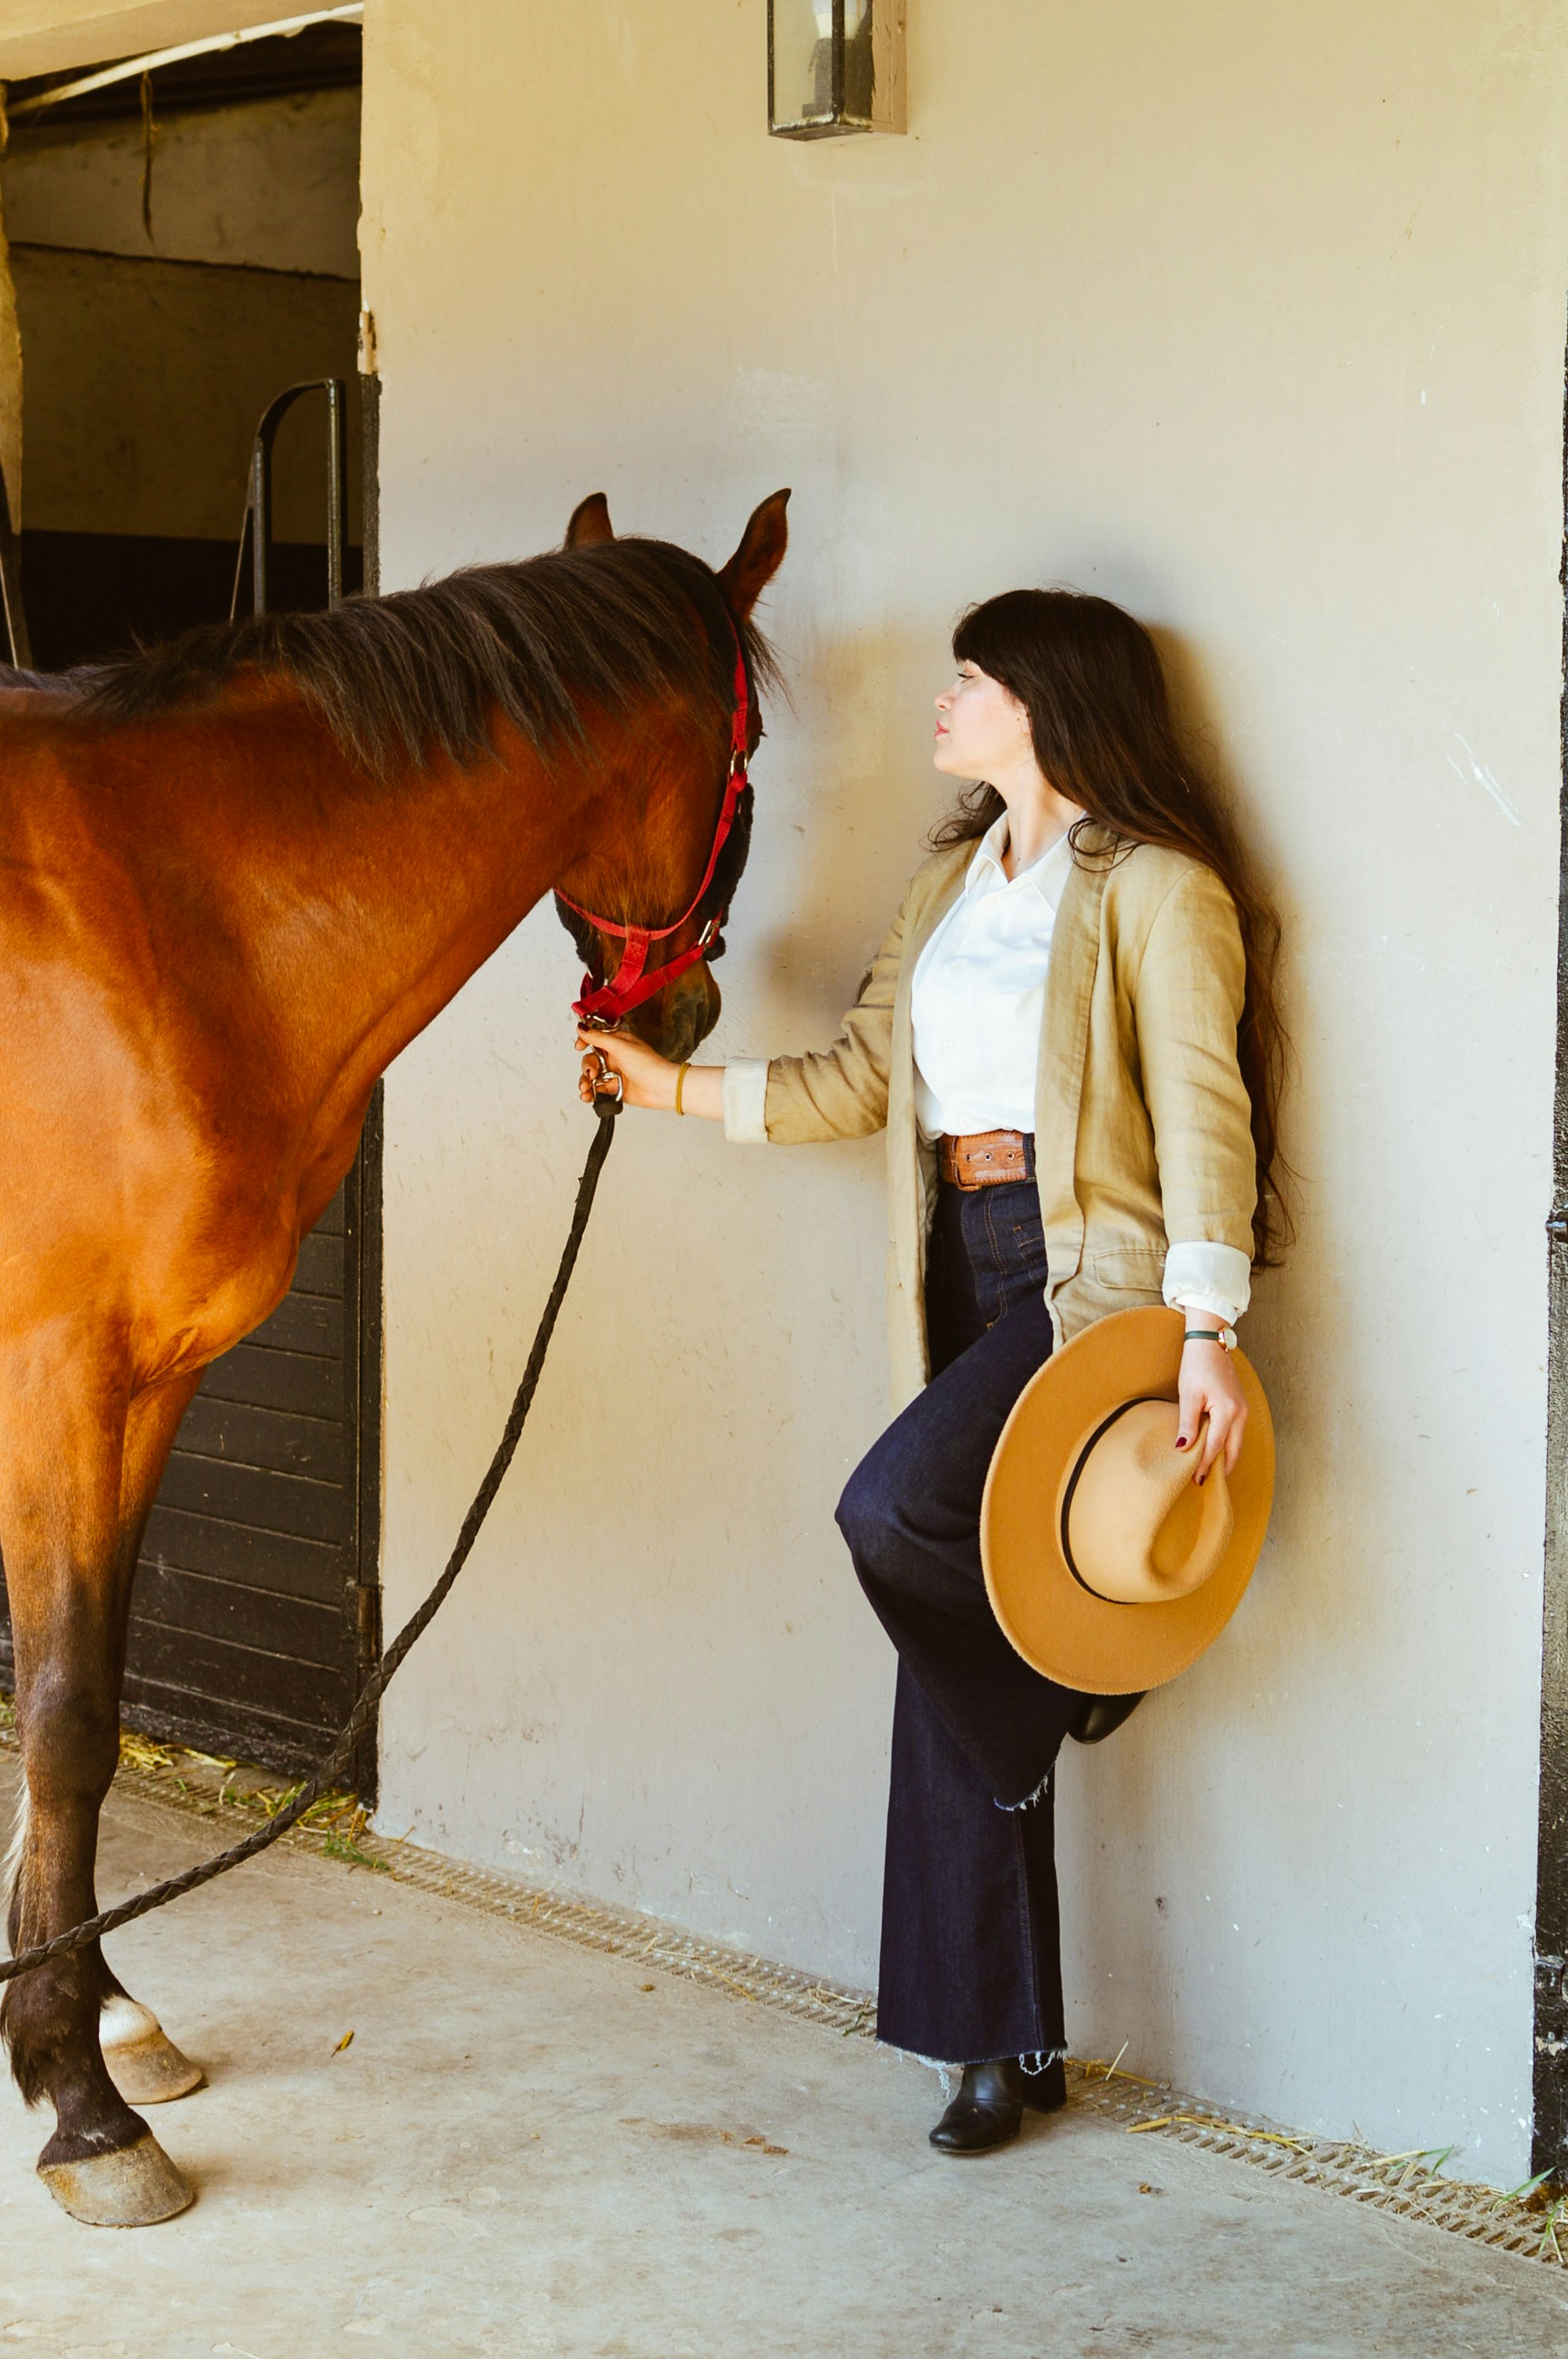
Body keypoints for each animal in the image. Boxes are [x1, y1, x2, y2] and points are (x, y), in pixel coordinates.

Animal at [0, 485, 790, 2226]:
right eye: (755, 750)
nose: (683, 1015)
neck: (159, 916)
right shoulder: (53, 1379)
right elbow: (67, 1709)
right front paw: (82, 2104)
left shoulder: (145, 1384)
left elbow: (76, 1704)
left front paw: (97, 2012)